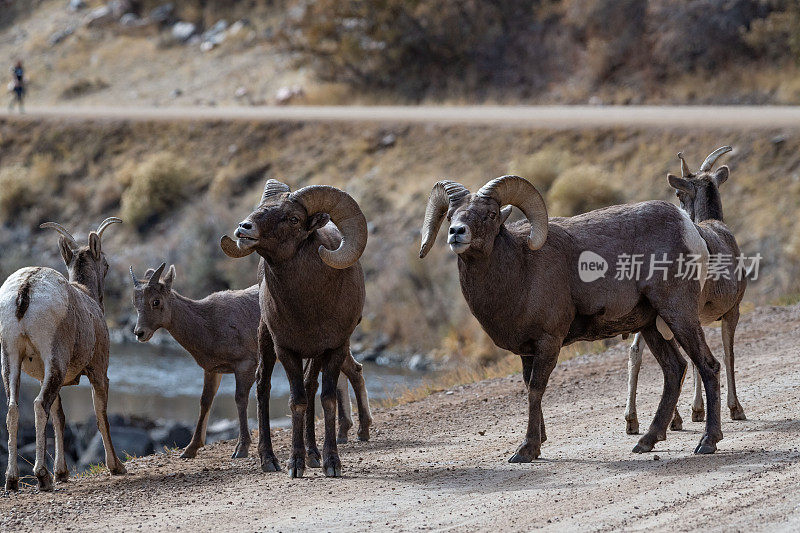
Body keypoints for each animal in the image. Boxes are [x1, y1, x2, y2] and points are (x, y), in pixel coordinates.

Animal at [0, 217, 126, 490]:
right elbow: (101, 416)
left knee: (14, 409)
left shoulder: (43, 375)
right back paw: (42, 476)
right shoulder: (99, 372)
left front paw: (62, 473)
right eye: (107, 265)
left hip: (11, 359)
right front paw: (117, 467)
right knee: (39, 405)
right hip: (54, 361)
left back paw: (12, 480)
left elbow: (59, 418)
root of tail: (26, 290)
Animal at [128, 262, 372, 458]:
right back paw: (346, 433)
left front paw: (241, 449)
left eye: (156, 301)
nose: (139, 333)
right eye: (135, 303)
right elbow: (205, 402)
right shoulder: (213, 370)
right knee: (349, 372)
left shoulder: (244, 366)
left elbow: (240, 399)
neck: (209, 323)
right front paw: (190, 450)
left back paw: (362, 432)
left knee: (354, 371)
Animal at [220, 180, 368, 478]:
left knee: (311, 389)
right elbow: (296, 401)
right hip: (266, 340)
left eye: (293, 219)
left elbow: (326, 400)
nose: (244, 228)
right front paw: (294, 464)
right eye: (261, 207)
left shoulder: (335, 348)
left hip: (314, 356)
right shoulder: (286, 350)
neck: (310, 306)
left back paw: (313, 455)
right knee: (263, 386)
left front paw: (331, 463)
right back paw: (269, 460)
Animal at [422, 175, 720, 458]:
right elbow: (528, 387)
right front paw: (539, 440)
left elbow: (536, 389)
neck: (520, 270)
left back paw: (707, 442)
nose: (457, 233)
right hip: (651, 326)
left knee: (708, 365)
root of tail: (689, 229)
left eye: (491, 214)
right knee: (674, 369)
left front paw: (527, 449)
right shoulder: (527, 351)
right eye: (450, 216)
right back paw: (647, 441)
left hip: (678, 314)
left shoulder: (548, 342)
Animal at [620, 145, 748, 432]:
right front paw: (732, 409)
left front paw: (697, 411)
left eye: (679, 194)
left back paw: (636, 421)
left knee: (639, 353)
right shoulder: (731, 311)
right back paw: (671, 419)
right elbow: (729, 354)